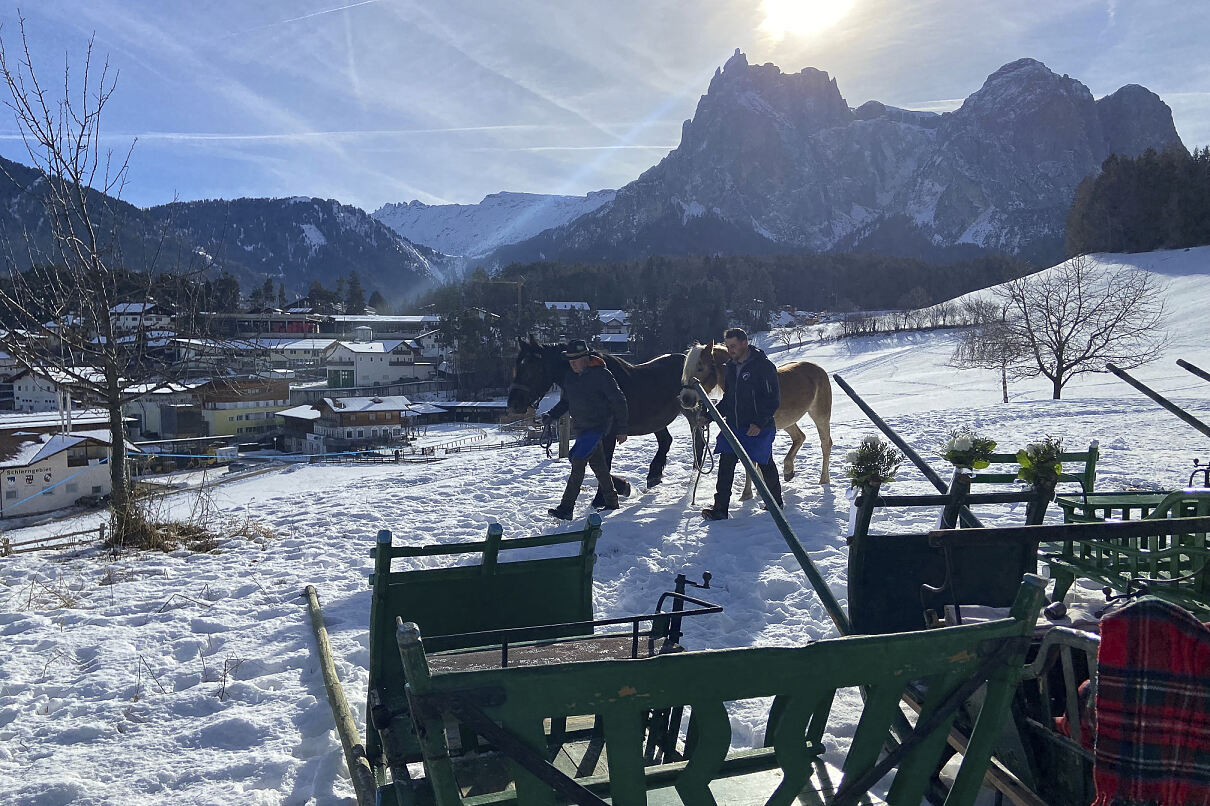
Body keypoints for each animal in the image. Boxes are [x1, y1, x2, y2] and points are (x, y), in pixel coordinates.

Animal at [505, 334, 706, 486]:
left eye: (532, 368)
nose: (513, 403)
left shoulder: (609, 435)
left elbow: (604, 465)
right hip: (656, 420)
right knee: (666, 441)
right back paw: (654, 475)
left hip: (689, 412)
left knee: (698, 441)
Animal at [682, 336, 832, 493]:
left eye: (700, 368)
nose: (685, 399)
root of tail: (818, 368)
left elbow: (752, 463)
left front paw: (747, 493)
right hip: (788, 422)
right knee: (800, 437)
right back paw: (788, 470)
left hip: (820, 416)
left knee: (825, 444)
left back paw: (824, 480)